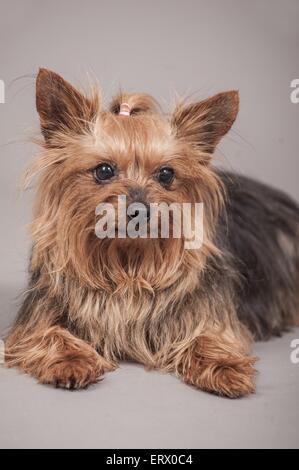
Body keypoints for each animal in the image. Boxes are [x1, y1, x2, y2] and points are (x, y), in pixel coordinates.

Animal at [4, 67, 299, 396]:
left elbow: (209, 335)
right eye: (104, 170)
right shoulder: (36, 322)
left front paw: (224, 366)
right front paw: (71, 361)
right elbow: (47, 334)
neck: (129, 266)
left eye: (166, 174)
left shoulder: (211, 316)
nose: (140, 210)